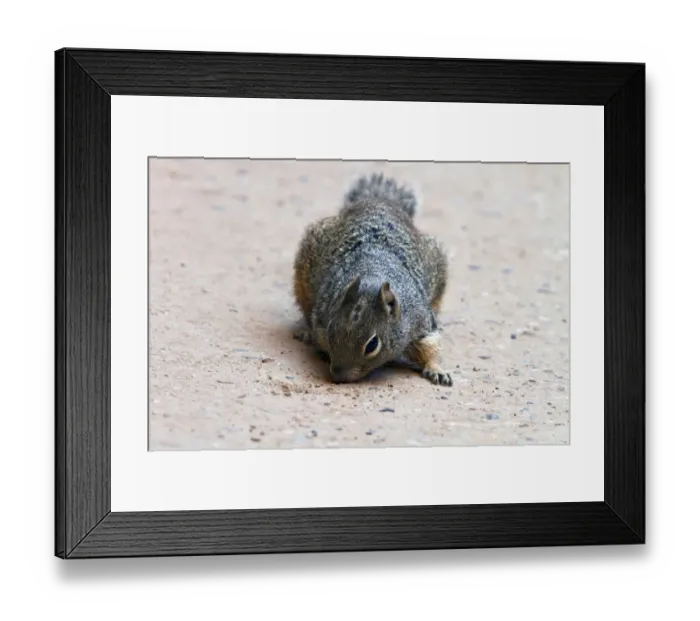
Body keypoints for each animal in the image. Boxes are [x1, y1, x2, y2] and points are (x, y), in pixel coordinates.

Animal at [292, 172, 452, 386]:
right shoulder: (322, 314)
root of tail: (380, 200)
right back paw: (306, 332)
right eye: (330, 329)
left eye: (372, 345)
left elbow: (430, 346)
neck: (372, 275)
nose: (338, 376)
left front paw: (437, 370)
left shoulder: (422, 320)